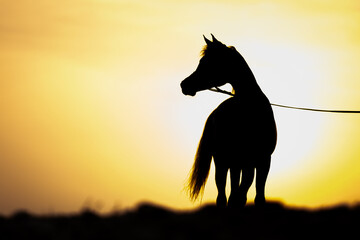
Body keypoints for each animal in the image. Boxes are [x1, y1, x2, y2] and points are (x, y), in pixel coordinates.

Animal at [181, 34, 278, 207]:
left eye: (207, 62)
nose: (184, 85)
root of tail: (214, 114)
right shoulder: (244, 162)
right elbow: (238, 195)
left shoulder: (263, 161)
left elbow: (255, 196)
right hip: (223, 161)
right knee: (223, 196)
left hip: (235, 164)